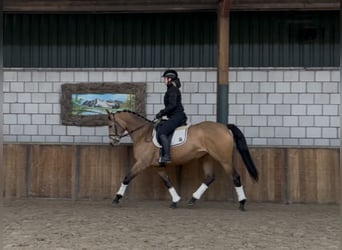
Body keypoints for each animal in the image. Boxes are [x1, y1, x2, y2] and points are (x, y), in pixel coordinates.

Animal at [106, 110, 256, 210]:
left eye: (110, 125)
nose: (113, 142)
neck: (143, 134)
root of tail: (224, 126)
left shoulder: (142, 163)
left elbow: (127, 177)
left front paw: (116, 198)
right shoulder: (157, 166)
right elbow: (167, 181)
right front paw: (175, 200)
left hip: (224, 159)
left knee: (235, 176)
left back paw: (242, 203)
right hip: (206, 157)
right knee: (209, 177)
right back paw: (192, 199)